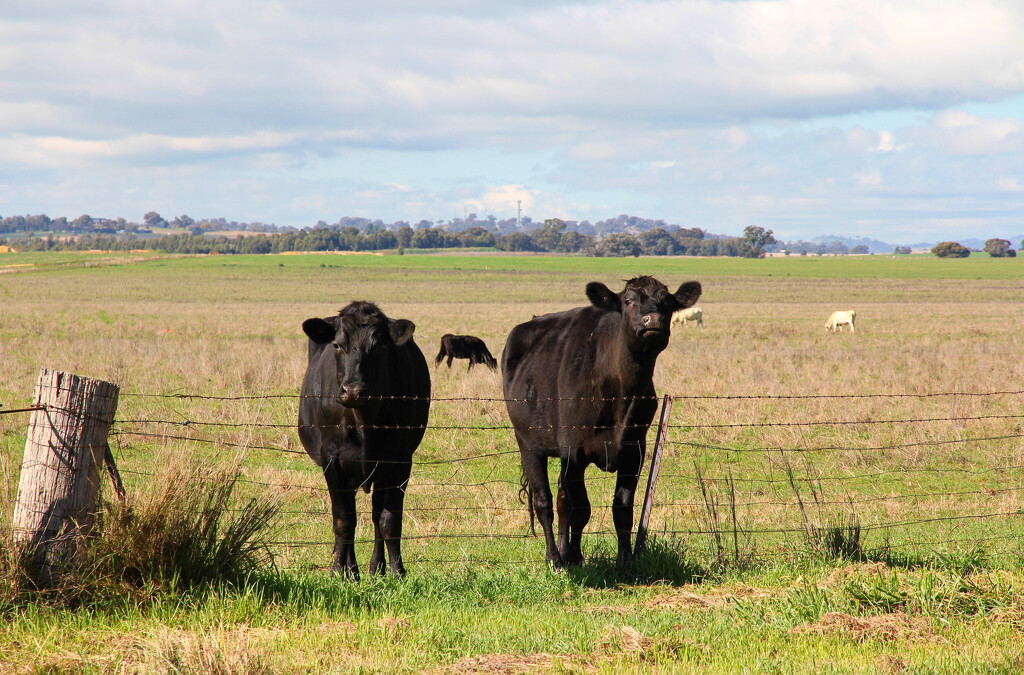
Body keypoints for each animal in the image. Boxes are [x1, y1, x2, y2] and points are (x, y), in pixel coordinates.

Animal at [296, 303, 428, 577]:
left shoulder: (400, 461)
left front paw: (397, 571)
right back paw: (349, 567)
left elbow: (389, 520)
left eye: (379, 347)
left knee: (376, 515)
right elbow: (343, 520)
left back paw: (376, 568)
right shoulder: (331, 460)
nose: (353, 390)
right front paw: (340, 571)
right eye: (337, 345)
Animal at [499, 276, 700, 569]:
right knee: (544, 501)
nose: (653, 320)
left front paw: (625, 560)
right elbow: (580, 508)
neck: (621, 394)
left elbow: (622, 510)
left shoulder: (634, 451)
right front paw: (571, 557)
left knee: (561, 497)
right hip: (528, 442)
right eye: (628, 301)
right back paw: (554, 557)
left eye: (668, 302)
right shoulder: (574, 451)